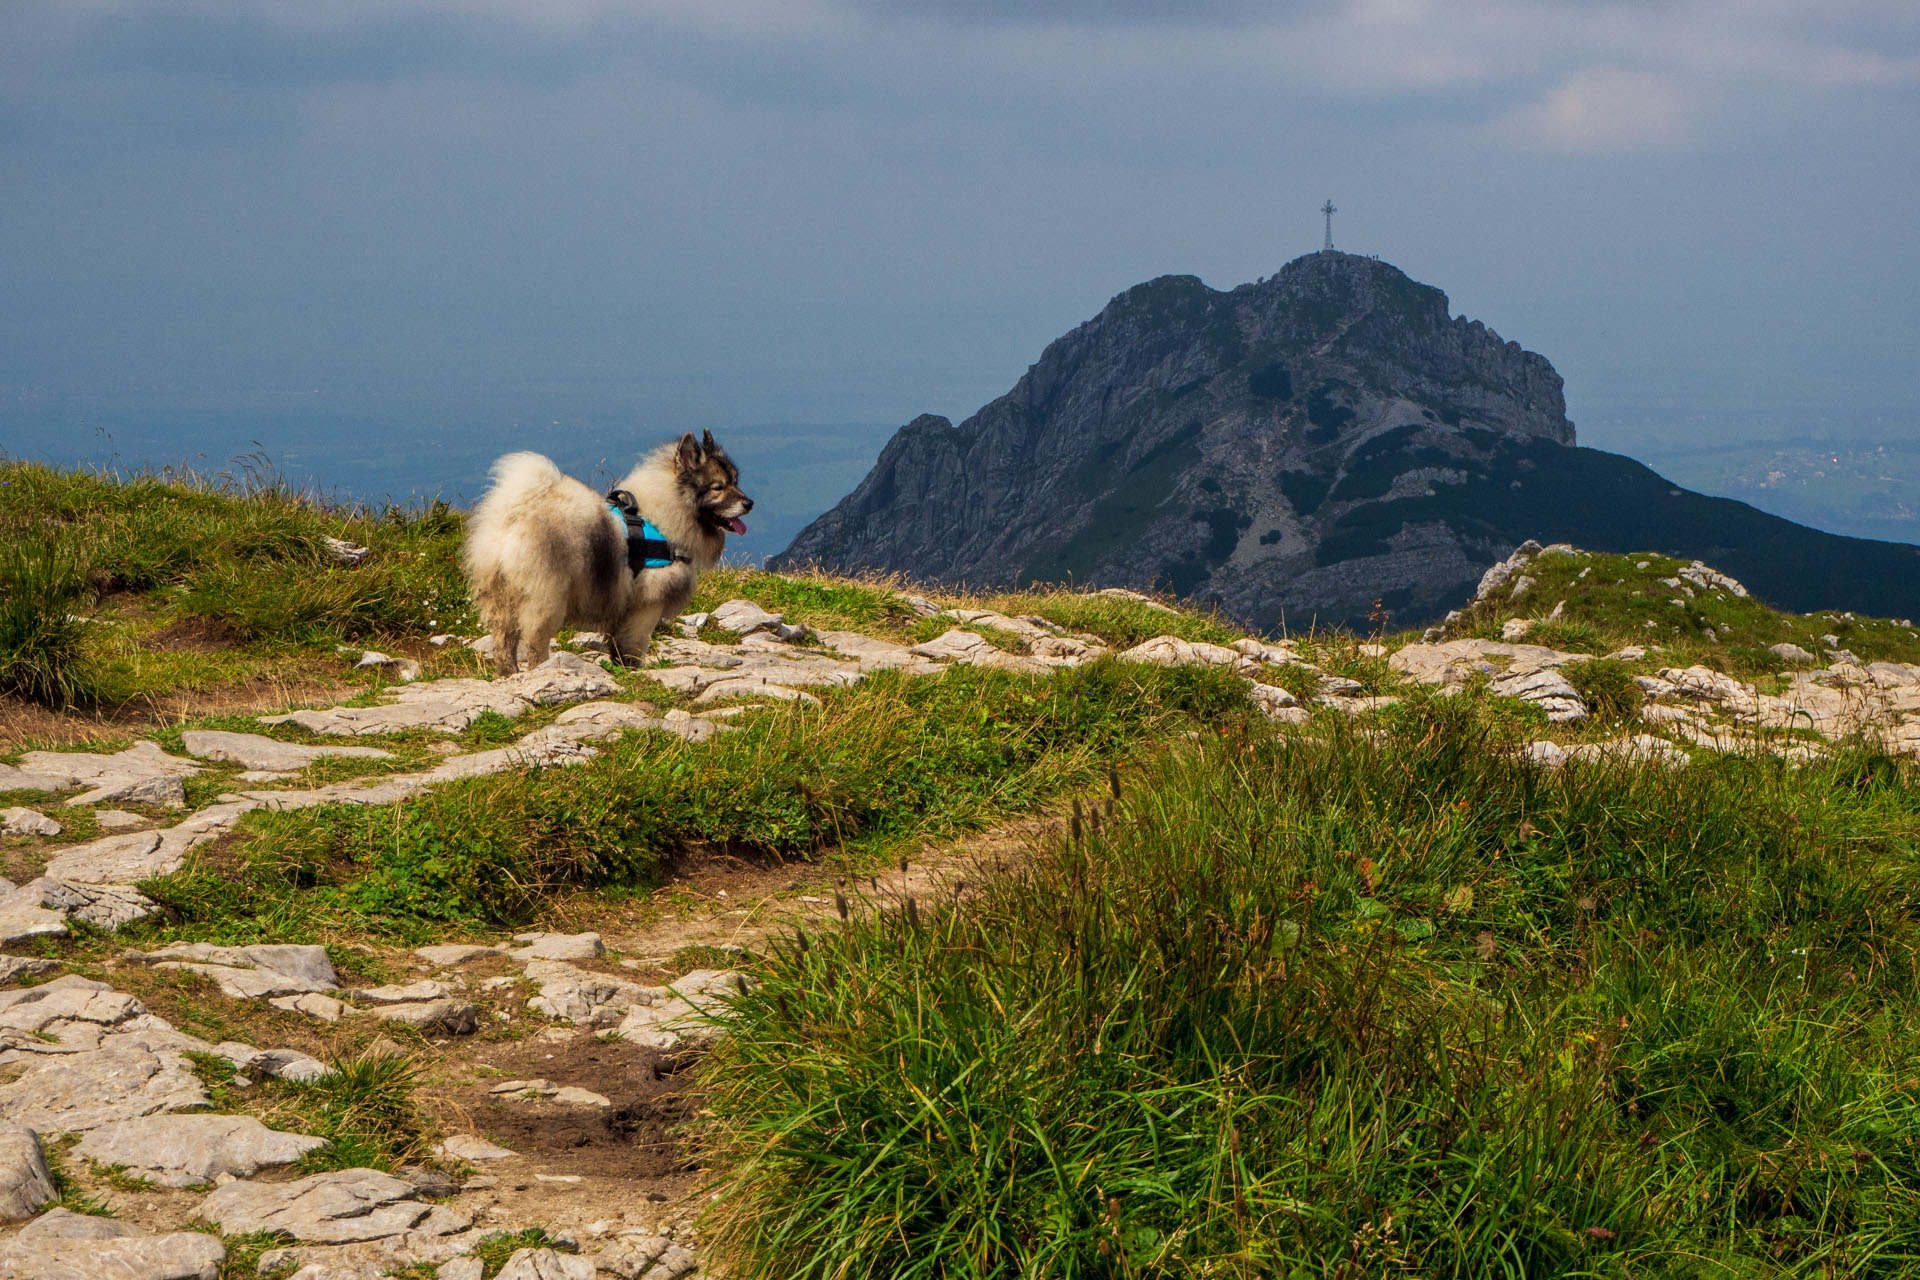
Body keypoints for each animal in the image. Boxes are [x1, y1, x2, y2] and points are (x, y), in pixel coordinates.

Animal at [460, 433, 752, 675]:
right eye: (718, 487)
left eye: (736, 482)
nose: (749, 503)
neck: (664, 517)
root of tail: (515, 515)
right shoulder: (647, 605)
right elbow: (635, 645)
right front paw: (634, 671)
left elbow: (618, 645)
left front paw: (620, 668)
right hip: (546, 599)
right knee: (534, 643)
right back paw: (541, 670)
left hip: (502, 599)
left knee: (503, 642)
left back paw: (508, 673)